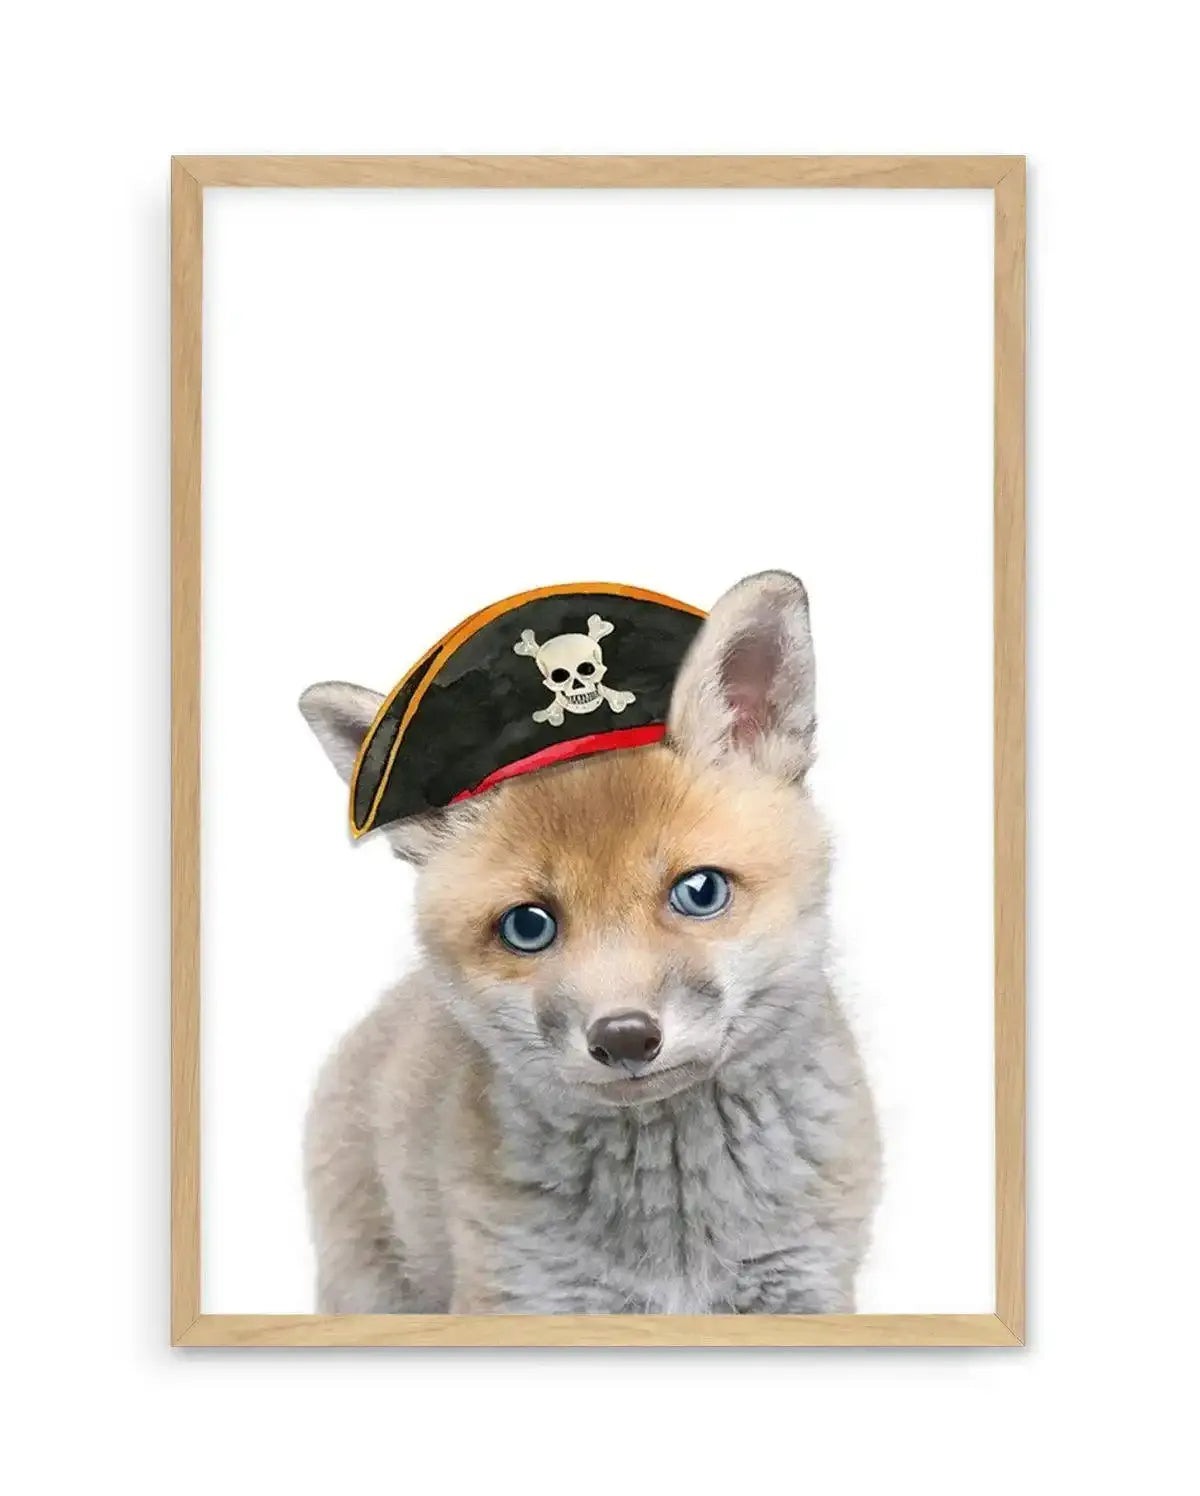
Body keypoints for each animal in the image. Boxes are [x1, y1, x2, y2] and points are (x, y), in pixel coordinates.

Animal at [299, 570, 880, 1314]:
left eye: (700, 892)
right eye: (528, 926)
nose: (625, 1037)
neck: (678, 1238)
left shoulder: (804, 1286)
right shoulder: (524, 1294)